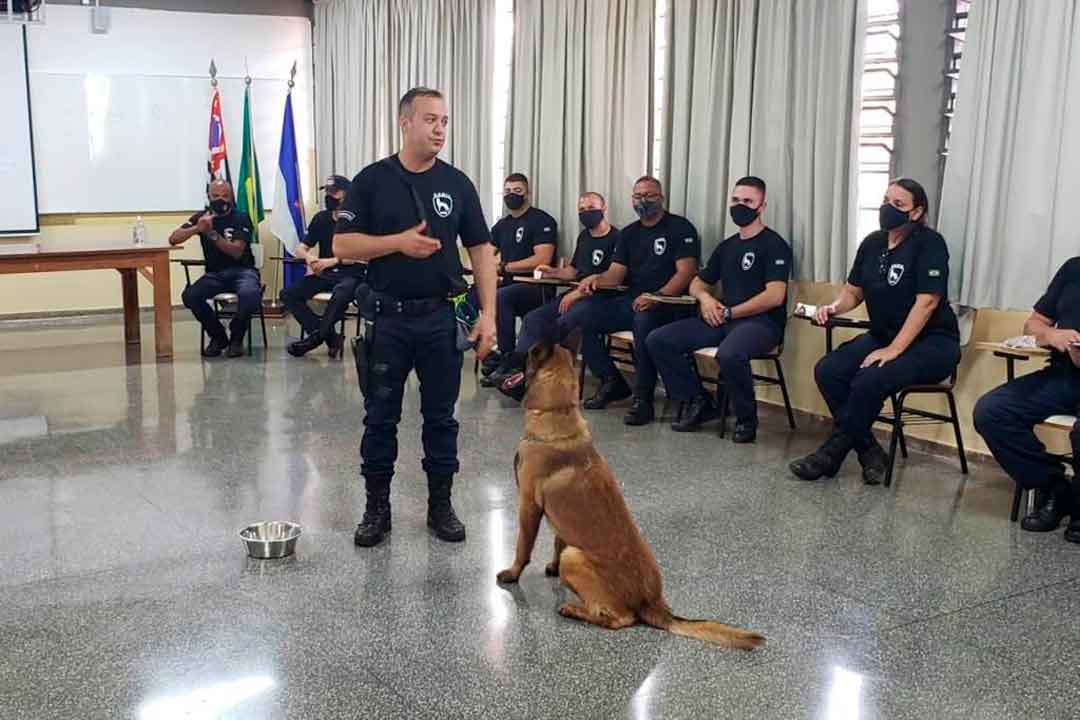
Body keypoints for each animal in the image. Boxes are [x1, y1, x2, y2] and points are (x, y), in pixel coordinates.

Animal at [494, 341, 764, 651]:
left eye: (522, 354)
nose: (498, 358)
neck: (557, 412)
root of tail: (654, 604)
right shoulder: (556, 519)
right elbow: (558, 540)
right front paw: (551, 565)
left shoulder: (528, 506)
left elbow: (522, 547)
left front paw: (513, 573)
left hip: (575, 558)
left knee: (620, 618)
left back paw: (574, 610)